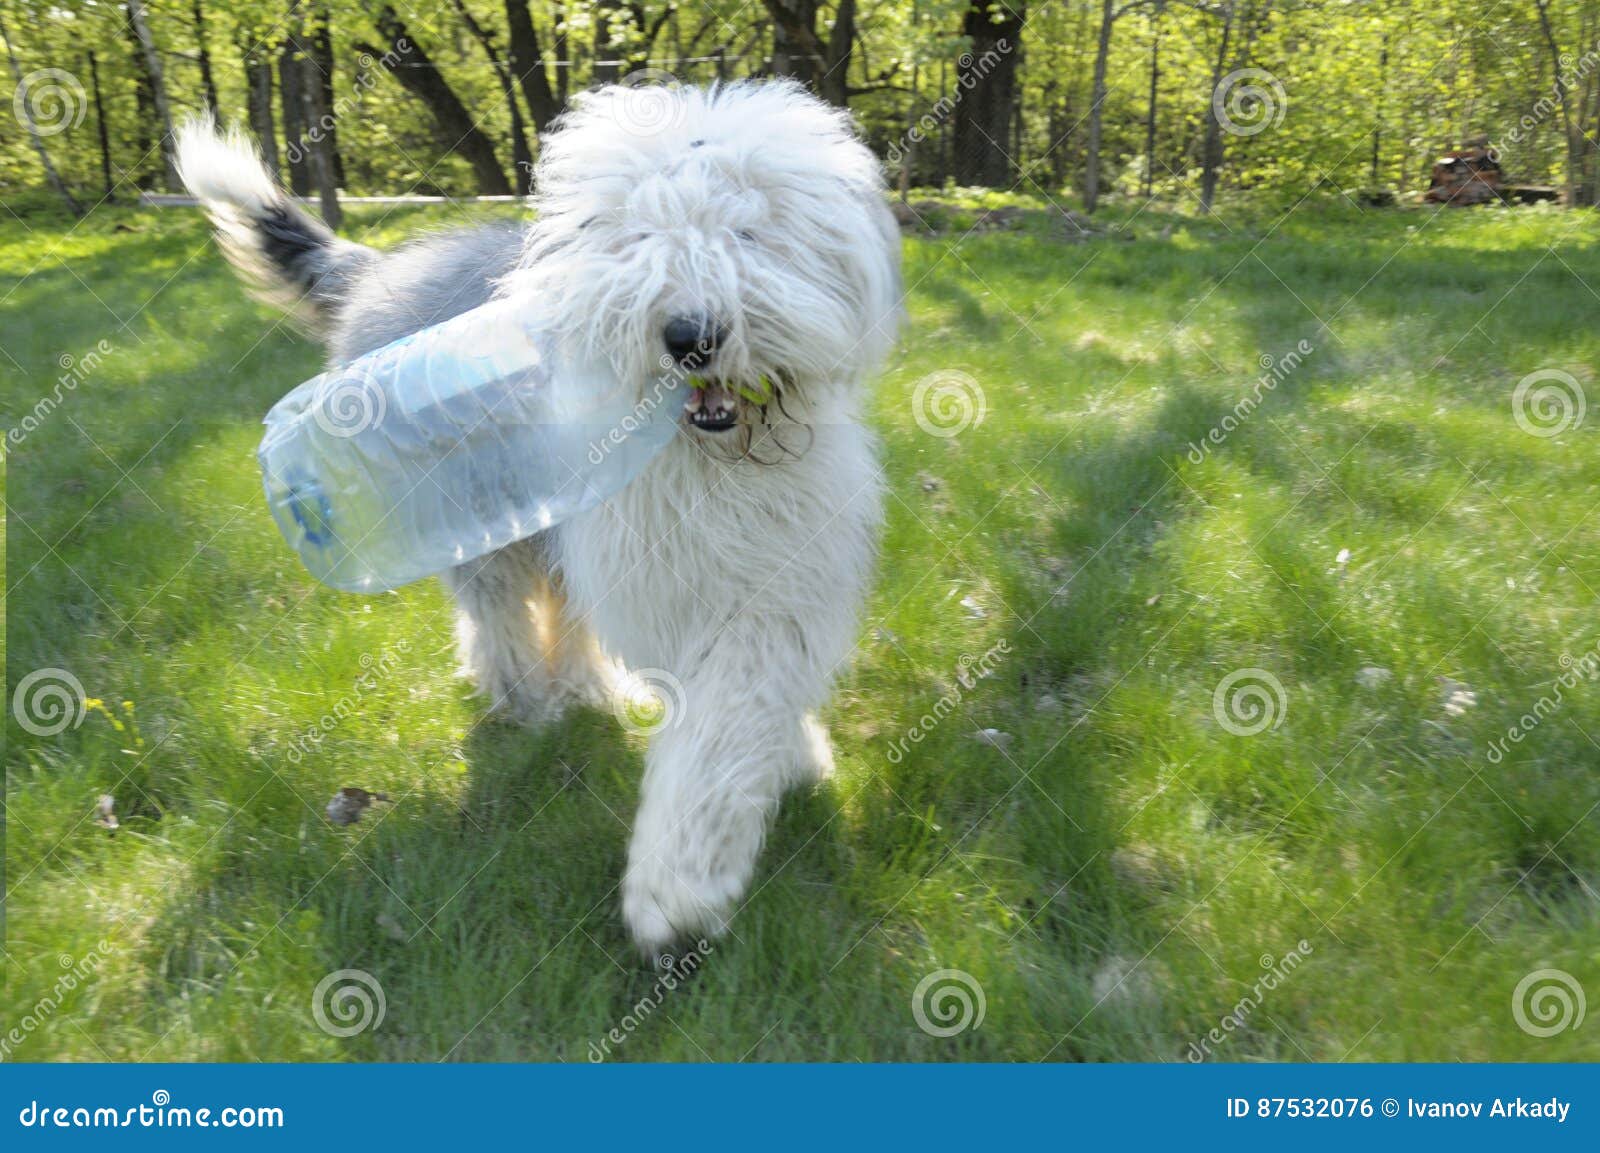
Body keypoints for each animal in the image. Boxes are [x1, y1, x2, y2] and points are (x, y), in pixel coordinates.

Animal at [178, 80, 902, 953]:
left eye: (750, 231)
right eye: (639, 239)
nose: (691, 335)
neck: (716, 461)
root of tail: (385, 266)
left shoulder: (777, 576)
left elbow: (750, 693)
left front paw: (790, 761)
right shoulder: (667, 581)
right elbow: (711, 726)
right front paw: (677, 892)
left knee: (558, 603)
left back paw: (584, 686)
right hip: (475, 521)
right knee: (497, 612)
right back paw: (527, 697)